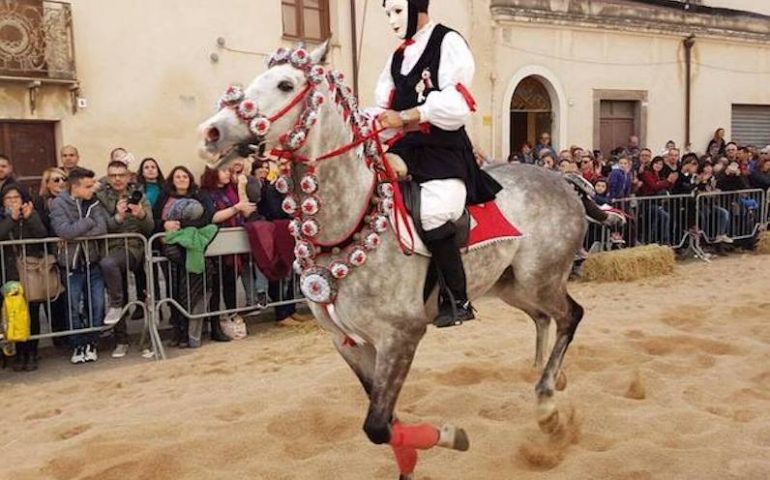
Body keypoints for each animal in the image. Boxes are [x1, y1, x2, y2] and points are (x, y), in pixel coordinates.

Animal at [196, 41, 588, 480]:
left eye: (285, 84)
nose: (211, 132)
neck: (352, 223)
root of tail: (564, 180)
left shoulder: (401, 336)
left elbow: (377, 425)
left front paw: (451, 437)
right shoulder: (348, 342)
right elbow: (384, 419)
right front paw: (411, 461)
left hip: (540, 278)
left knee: (570, 315)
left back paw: (547, 403)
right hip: (513, 285)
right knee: (544, 318)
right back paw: (550, 375)